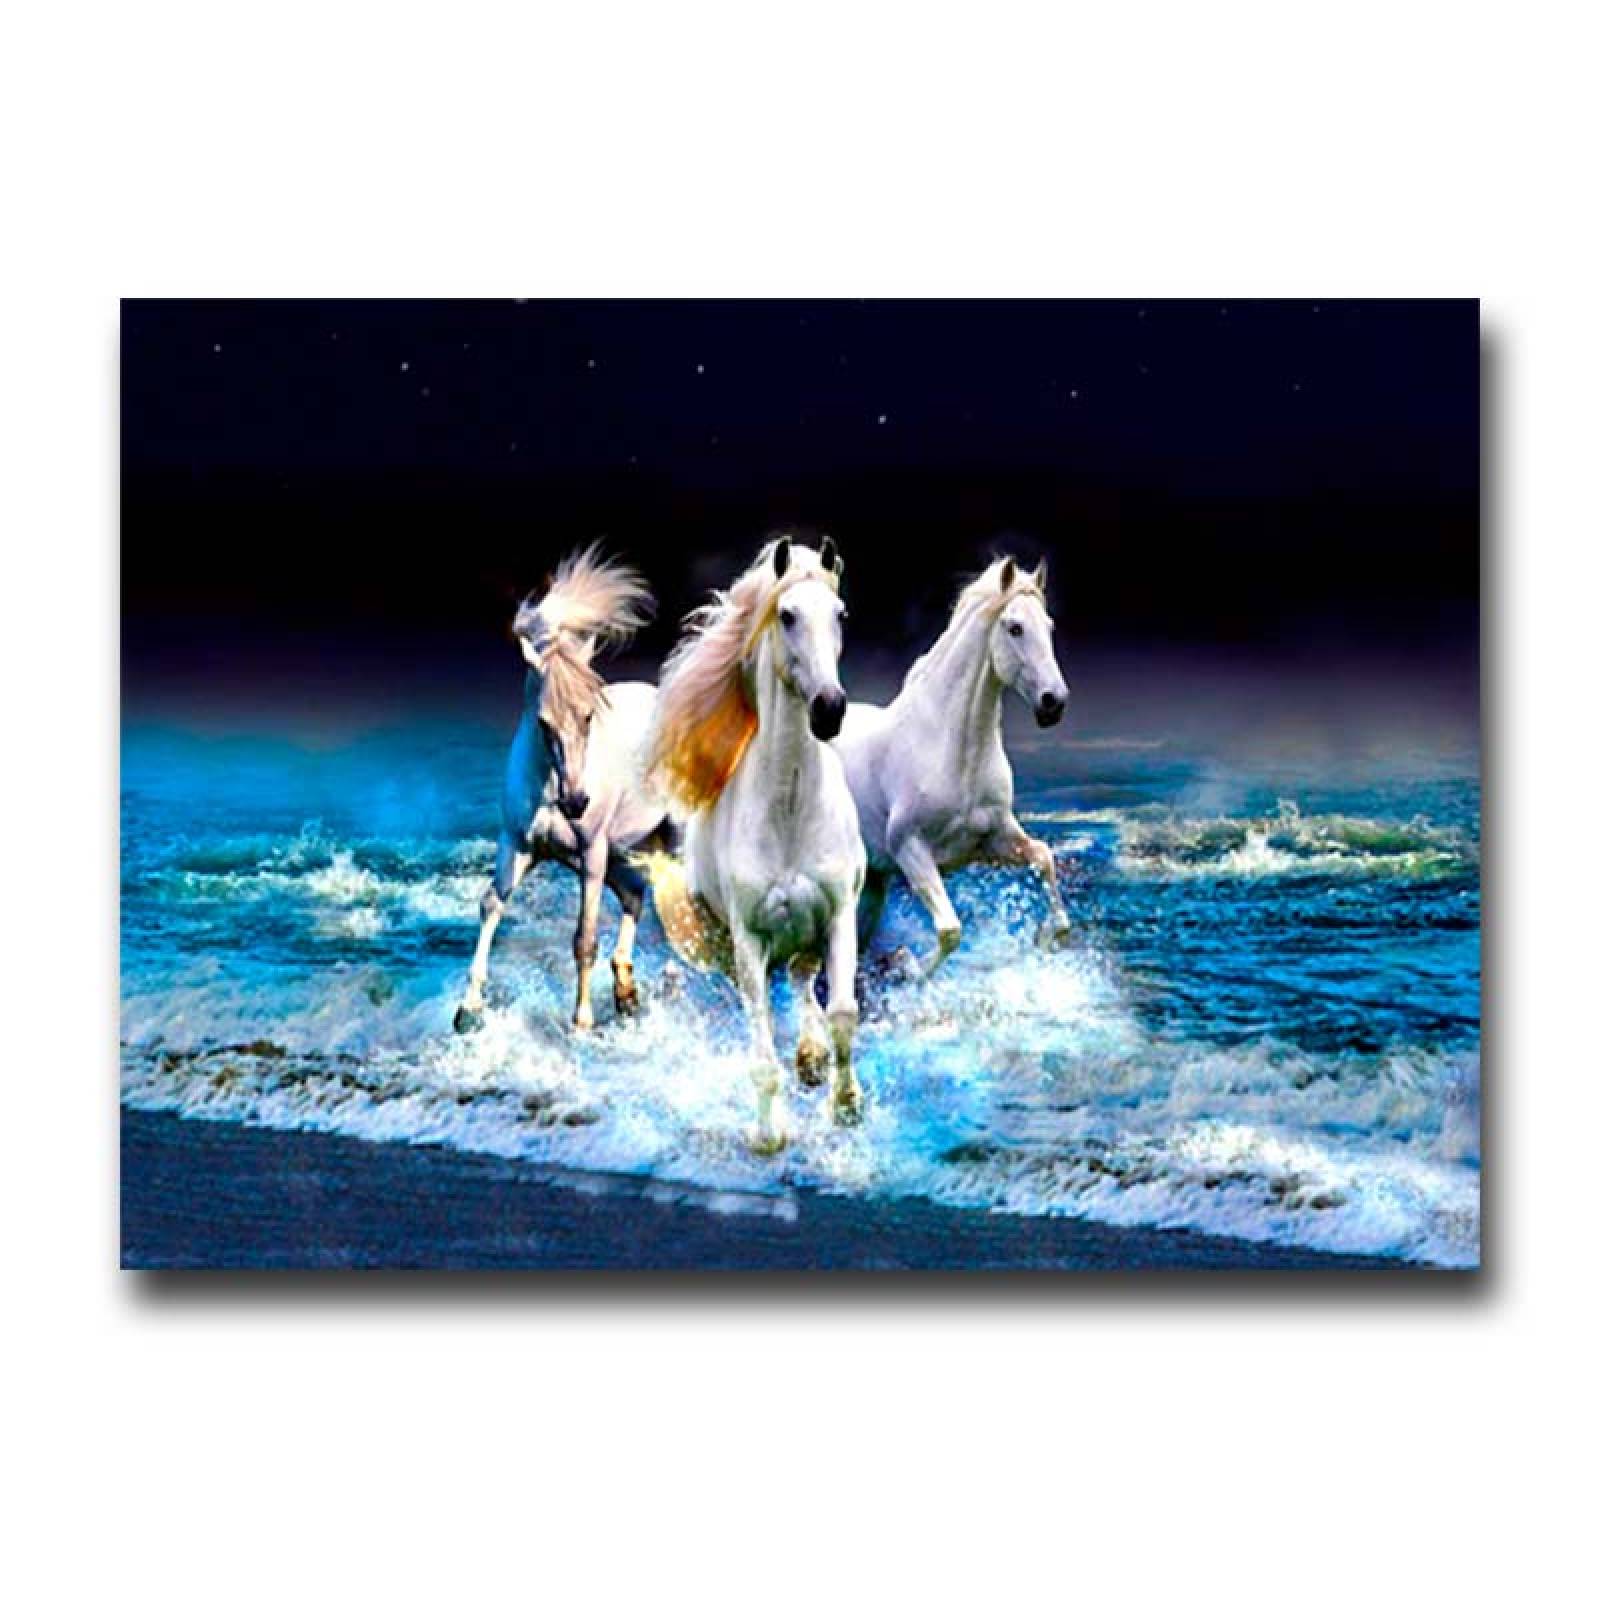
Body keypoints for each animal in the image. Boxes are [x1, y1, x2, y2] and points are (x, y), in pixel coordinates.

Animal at [453, 546, 675, 1034]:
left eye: (589, 716)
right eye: (542, 722)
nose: (576, 802)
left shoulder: (590, 854)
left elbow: (584, 937)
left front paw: (582, 1021)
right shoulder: (519, 845)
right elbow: (491, 905)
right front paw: (468, 1009)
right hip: (618, 850)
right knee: (635, 893)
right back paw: (626, 990)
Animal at [643, 535, 865, 1153]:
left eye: (840, 614)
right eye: (786, 615)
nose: (829, 708)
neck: (789, 811)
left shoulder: (838, 915)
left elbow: (843, 1013)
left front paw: (846, 1105)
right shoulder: (749, 939)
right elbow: (761, 1049)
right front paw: (768, 1135)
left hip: (807, 935)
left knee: (804, 983)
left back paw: (812, 1059)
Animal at [836, 555, 1071, 977]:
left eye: (1048, 627)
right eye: (1015, 628)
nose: (1054, 702)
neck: (954, 753)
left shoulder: (994, 839)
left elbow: (1044, 857)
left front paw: (1046, 937)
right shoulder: (910, 850)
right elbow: (950, 930)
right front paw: (907, 965)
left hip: (873, 883)